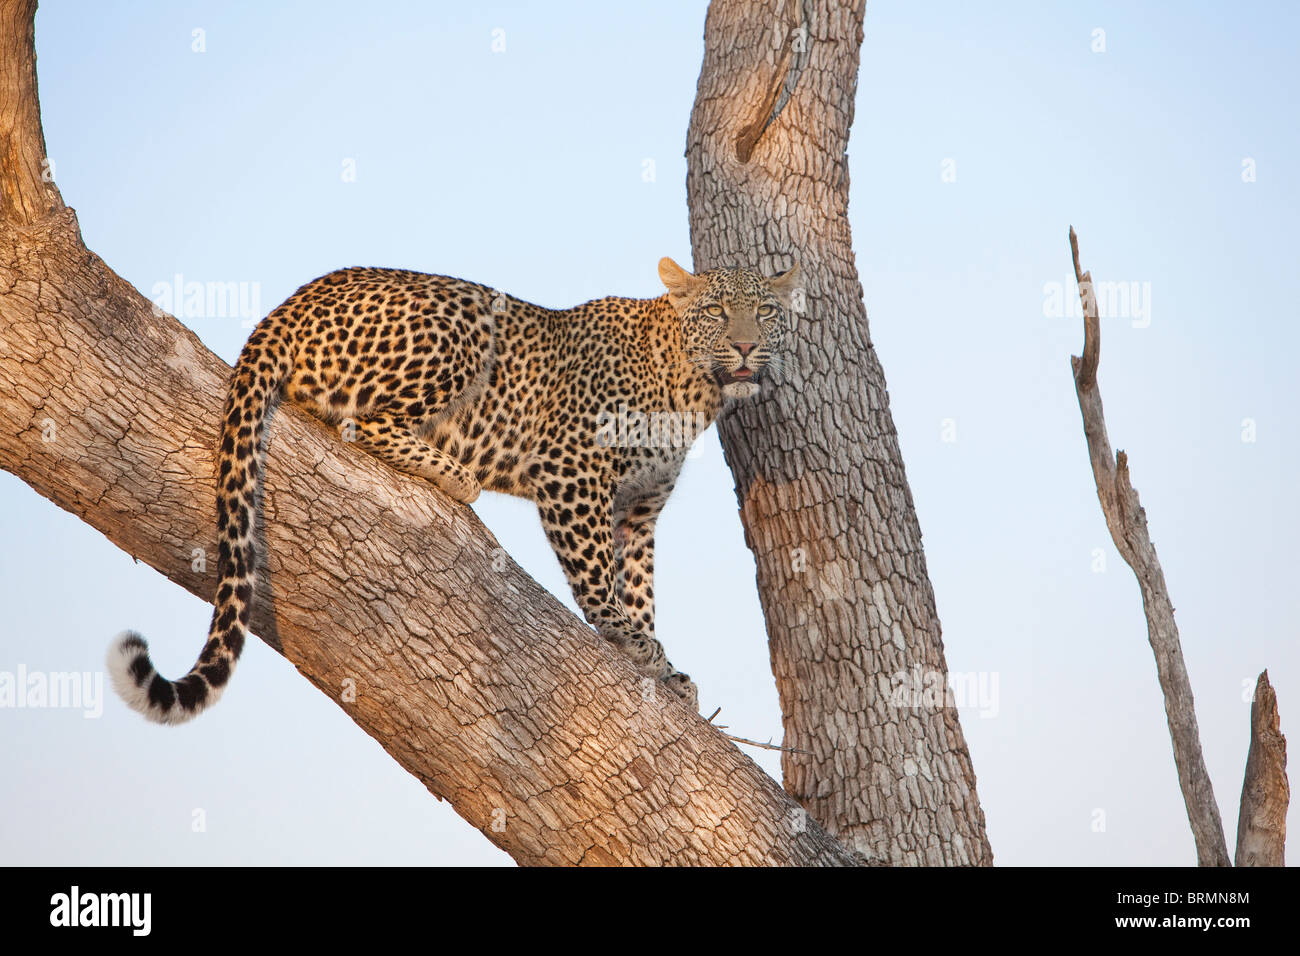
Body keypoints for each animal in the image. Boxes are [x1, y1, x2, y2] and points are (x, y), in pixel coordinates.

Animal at [107, 256, 801, 724]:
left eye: (764, 313)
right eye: (716, 313)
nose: (746, 346)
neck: (695, 393)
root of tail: (287, 306)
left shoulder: (639, 510)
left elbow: (640, 587)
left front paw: (662, 664)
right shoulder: (572, 468)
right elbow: (598, 577)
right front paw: (626, 637)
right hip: (462, 321)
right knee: (359, 419)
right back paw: (453, 473)